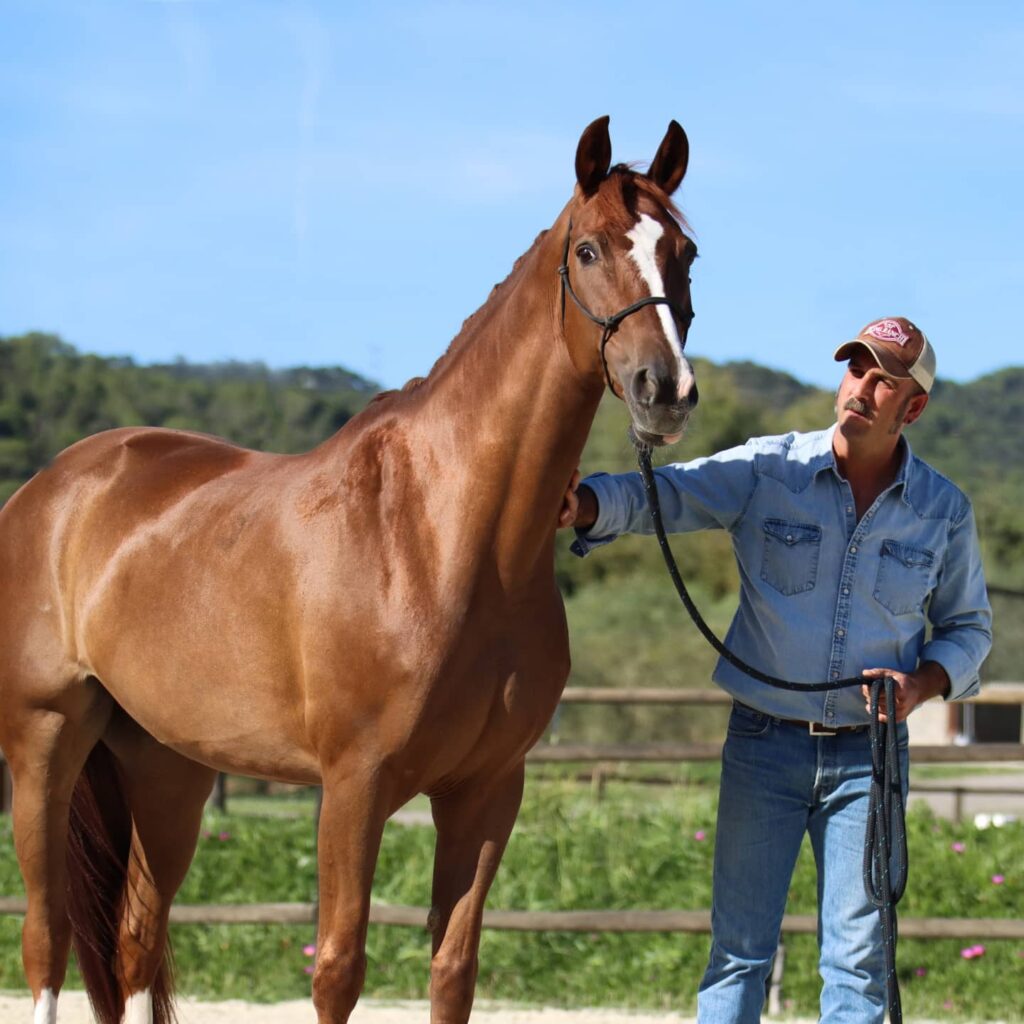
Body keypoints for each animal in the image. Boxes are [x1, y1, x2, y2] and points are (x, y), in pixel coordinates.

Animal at [0, 115, 698, 1024]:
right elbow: (337, 969)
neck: (444, 538)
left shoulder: (487, 789)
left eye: (686, 252)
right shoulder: (353, 786)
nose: (665, 390)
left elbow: (453, 968)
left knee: (132, 944)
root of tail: (51, 488)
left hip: (165, 768)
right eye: (588, 249)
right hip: (45, 742)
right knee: (45, 941)